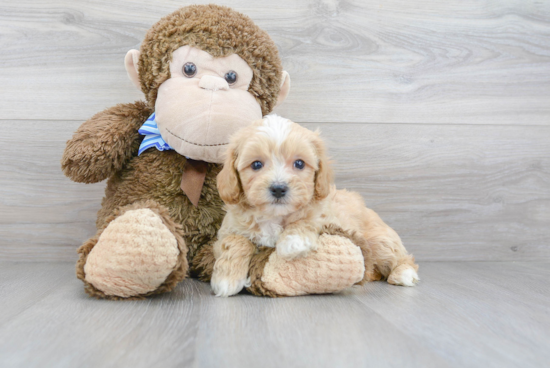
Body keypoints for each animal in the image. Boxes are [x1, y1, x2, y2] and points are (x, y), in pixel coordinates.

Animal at [213, 114, 420, 296]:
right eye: (256, 165)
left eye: (299, 163)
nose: (278, 188)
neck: (275, 216)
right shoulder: (227, 231)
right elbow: (235, 241)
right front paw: (226, 279)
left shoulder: (328, 216)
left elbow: (308, 218)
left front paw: (293, 242)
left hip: (379, 240)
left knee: (400, 256)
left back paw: (404, 273)